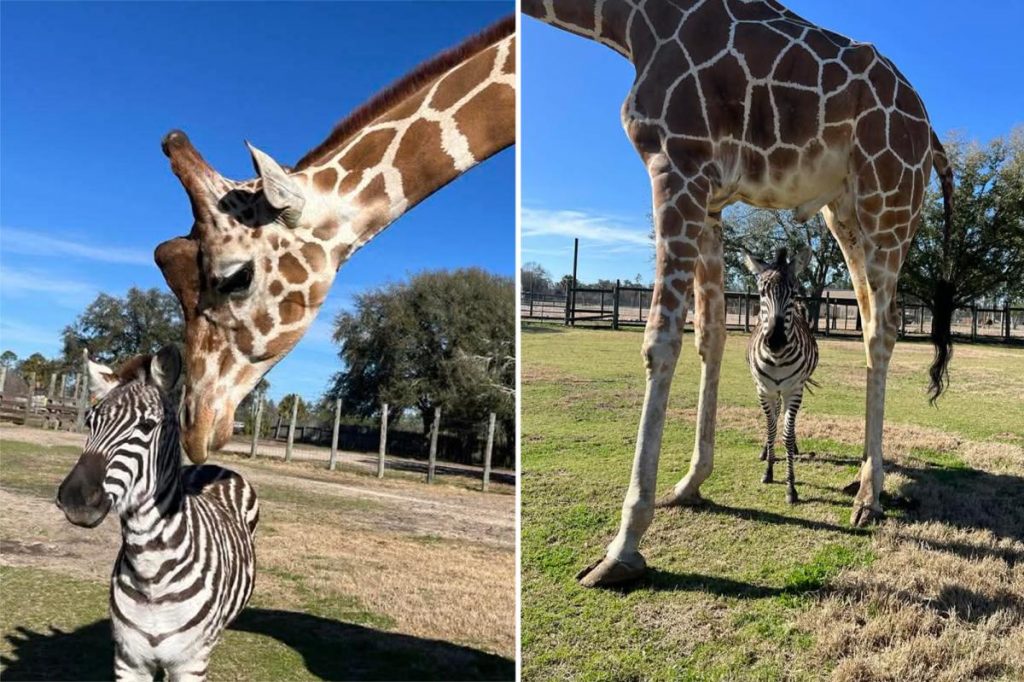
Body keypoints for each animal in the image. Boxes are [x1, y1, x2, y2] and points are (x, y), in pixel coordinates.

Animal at [56, 345, 258, 681]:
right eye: (89, 422)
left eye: (147, 426)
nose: (74, 499)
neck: (150, 571)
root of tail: (212, 467)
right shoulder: (129, 660)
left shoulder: (190, 665)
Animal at [743, 247, 819, 504]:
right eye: (761, 293)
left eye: (793, 293)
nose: (775, 341)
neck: (777, 358)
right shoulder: (763, 390)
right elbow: (771, 429)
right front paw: (768, 471)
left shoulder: (794, 390)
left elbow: (786, 434)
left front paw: (790, 487)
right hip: (772, 390)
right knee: (775, 416)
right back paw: (766, 451)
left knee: (785, 420)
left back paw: (792, 449)